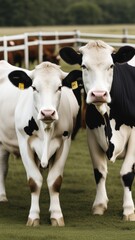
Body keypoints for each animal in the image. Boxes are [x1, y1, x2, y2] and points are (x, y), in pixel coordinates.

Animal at [0, 60, 80, 227]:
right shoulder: (24, 143)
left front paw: (56, 215)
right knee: (2, 167)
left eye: (59, 87)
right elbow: (34, 181)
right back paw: (2, 196)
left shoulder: (65, 143)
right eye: (34, 87)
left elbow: (54, 181)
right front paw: (33, 217)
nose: (48, 113)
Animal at [60, 39, 135, 221]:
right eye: (84, 66)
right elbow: (99, 172)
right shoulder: (92, 134)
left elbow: (127, 174)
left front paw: (129, 210)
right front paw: (99, 205)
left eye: (111, 66)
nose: (99, 94)